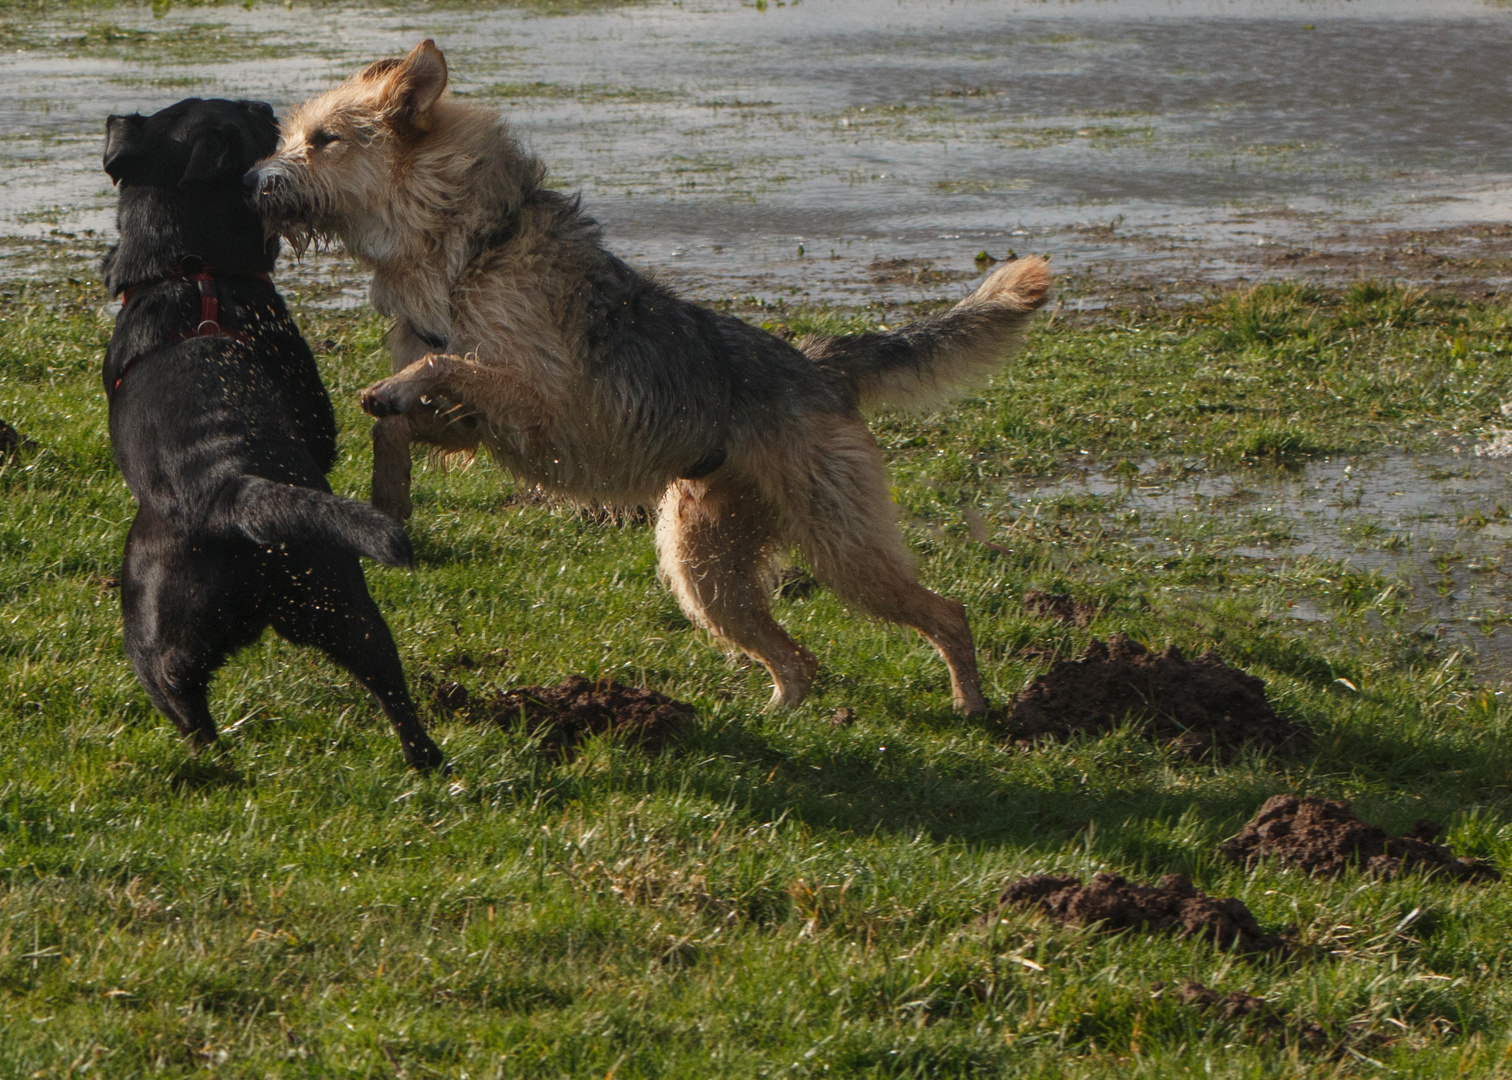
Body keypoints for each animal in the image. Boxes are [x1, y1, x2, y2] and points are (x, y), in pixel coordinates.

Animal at [99, 94, 441, 765]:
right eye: (246, 119)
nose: (263, 103)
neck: (188, 271)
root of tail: (229, 490)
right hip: (334, 599)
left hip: (196, 635)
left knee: (192, 709)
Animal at [247, 39, 1052, 713]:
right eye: (290, 138)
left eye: (324, 140)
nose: (254, 178)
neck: (468, 249)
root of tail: (820, 364)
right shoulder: (470, 423)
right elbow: (396, 423)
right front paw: (388, 501)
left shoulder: (542, 401)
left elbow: (440, 363)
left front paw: (395, 398)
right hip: (706, 567)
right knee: (798, 659)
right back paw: (781, 715)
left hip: (840, 544)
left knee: (946, 612)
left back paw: (973, 704)